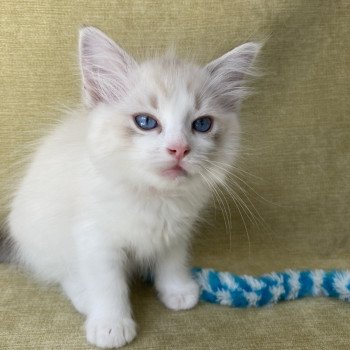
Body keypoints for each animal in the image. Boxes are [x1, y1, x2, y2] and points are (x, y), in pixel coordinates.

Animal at [3, 26, 260, 348]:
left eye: (202, 125)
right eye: (145, 122)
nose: (179, 149)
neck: (153, 198)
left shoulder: (176, 232)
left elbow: (172, 262)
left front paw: (177, 290)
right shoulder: (95, 238)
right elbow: (108, 285)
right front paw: (111, 325)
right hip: (43, 236)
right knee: (62, 271)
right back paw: (84, 297)